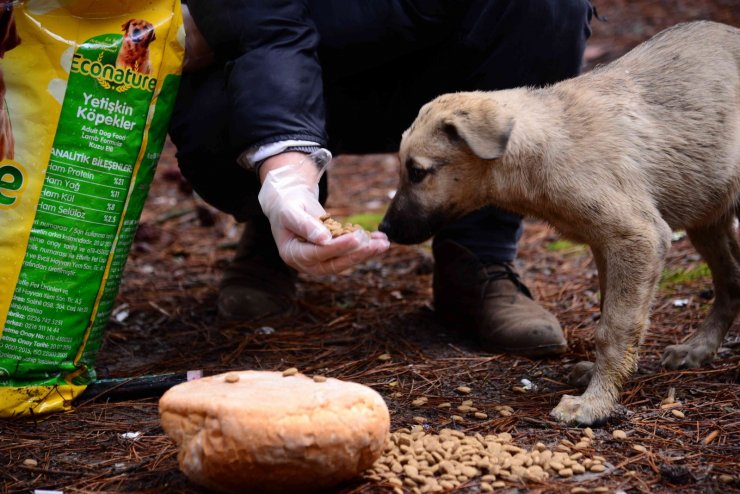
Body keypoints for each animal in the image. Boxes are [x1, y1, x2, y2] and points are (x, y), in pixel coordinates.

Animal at [378, 21, 740, 424]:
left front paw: (594, 403)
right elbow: (608, 313)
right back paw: (698, 349)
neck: (550, 143)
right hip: (707, 217)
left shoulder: (638, 237)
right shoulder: (606, 245)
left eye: (416, 171)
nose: (384, 230)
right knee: (731, 281)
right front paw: (597, 380)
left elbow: (614, 327)